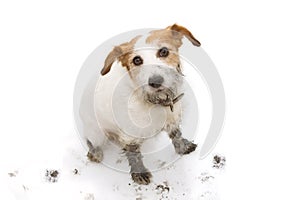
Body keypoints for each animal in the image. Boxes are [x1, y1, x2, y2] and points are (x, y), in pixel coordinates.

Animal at [81, 24, 200, 185]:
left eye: (164, 51)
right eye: (137, 60)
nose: (155, 82)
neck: (155, 102)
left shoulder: (174, 118)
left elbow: (176, 134)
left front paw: (183, 147)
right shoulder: (129, 136)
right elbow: (134, 154)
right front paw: (139, 173)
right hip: (96, 134)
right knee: (89, 140)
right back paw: (95, 152)